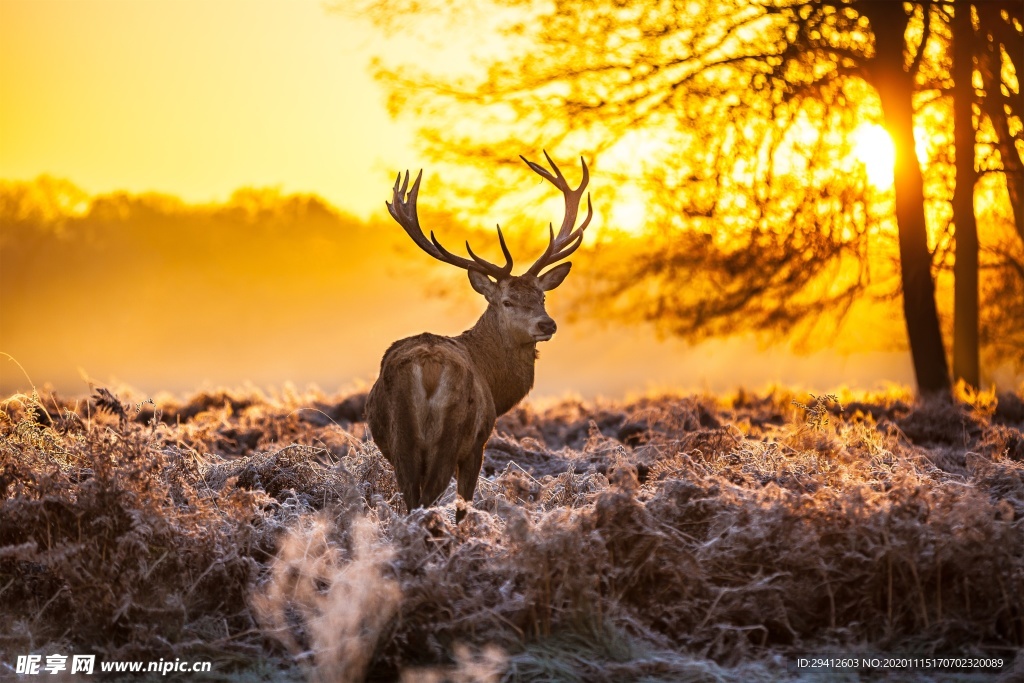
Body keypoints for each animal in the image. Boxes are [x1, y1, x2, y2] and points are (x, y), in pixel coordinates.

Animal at [366, 150, 593, 524]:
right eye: (507, 301)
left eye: (542, 297)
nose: (547, 325)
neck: (495, 383)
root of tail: (427, 369)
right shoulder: (479, 442)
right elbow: (464, 504)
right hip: (453, 434)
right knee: (430, 499)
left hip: (403, 441)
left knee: (412, 499)